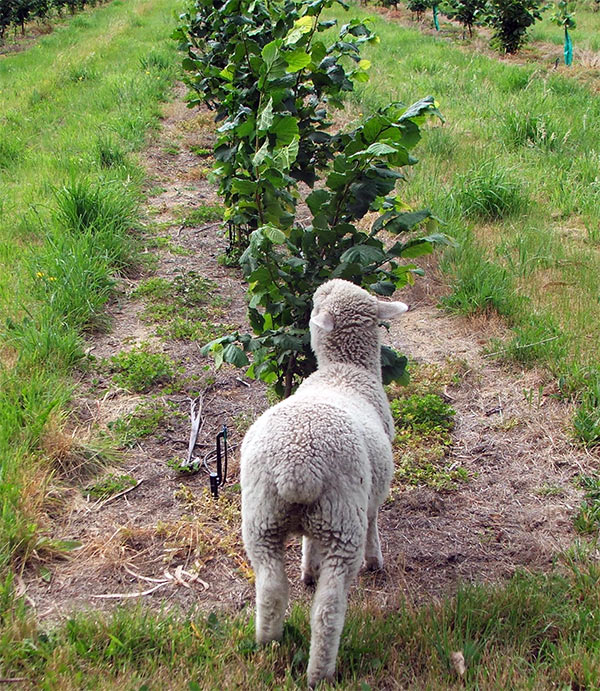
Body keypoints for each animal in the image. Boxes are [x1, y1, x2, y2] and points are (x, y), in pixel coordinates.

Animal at [239, 278, 408, 688]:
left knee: (271, 589)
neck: (344, 371)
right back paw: (320, 672)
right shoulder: (371, 496)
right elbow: (375, 523)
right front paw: (376, 561)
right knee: (328, 610)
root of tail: (296, 467)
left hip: (263, 519)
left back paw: (268, 644)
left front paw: (307, 569)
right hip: (342, 523)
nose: (321, 288)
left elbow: (306, 544)